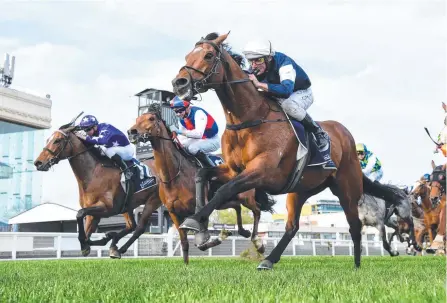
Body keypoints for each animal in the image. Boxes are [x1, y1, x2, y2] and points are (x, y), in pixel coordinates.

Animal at [33, 119, 163, 258]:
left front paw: (92, 242)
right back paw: (113, 244)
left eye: (57, 140)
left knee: (139, 228)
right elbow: (86, 233)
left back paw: (119, 248)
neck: (94, 173)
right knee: (131, 226)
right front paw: (94, 242)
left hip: (153, 201)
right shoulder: (93, 213)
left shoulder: (108, 208)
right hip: (128, 206)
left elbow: (80, 214)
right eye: (48, 139)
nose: (38, 163)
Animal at [126, 104, 272, 264]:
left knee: (256, 211)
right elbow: (184, 242)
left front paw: (217, 239)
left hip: (246, 197)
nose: (131, 132)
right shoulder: (173, 213)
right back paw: (243, 231)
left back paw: (258, 244)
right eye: (137, 119)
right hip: (225, 201)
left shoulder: (199, 209)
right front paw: (186, 264)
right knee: (238, 207)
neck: (174, 176)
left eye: (151, 118)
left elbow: (201, 243)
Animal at [170, 32, 408, 270]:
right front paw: (200, 230)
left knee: (355, 225)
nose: (179, 83)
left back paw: (357, 265)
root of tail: (346, 135)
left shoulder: (263, 170)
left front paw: (194, 221)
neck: (248, 118)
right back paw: (268, 260)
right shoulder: (232, 169)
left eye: (209, 55)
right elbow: (202, 175)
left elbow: (225, 189)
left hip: (347, 188)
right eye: (188, 55)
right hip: (300, 190)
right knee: (292, 227)